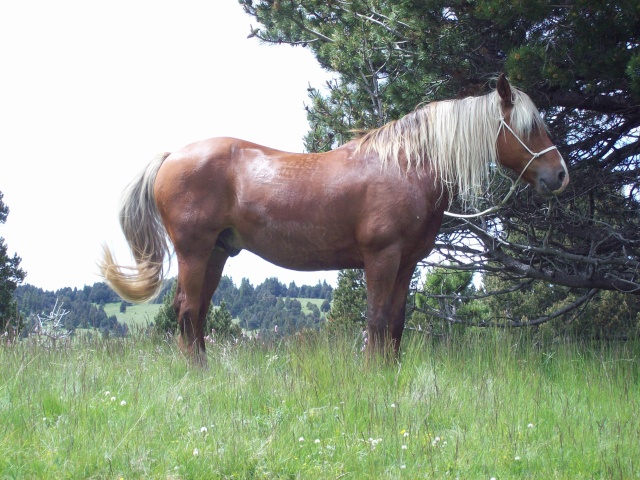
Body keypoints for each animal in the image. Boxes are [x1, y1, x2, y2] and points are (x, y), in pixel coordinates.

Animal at [101, 76, 568, 364]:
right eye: (530, 126)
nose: (560, 174)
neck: (406, 166)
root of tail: (172, 156)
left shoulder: (406, 264)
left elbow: (395, 323)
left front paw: (390, 374)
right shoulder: (381, 258)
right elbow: (376, 320)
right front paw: (372, 376)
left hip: (216, 252)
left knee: (197, 312)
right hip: (194, 251)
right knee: (186, 308)